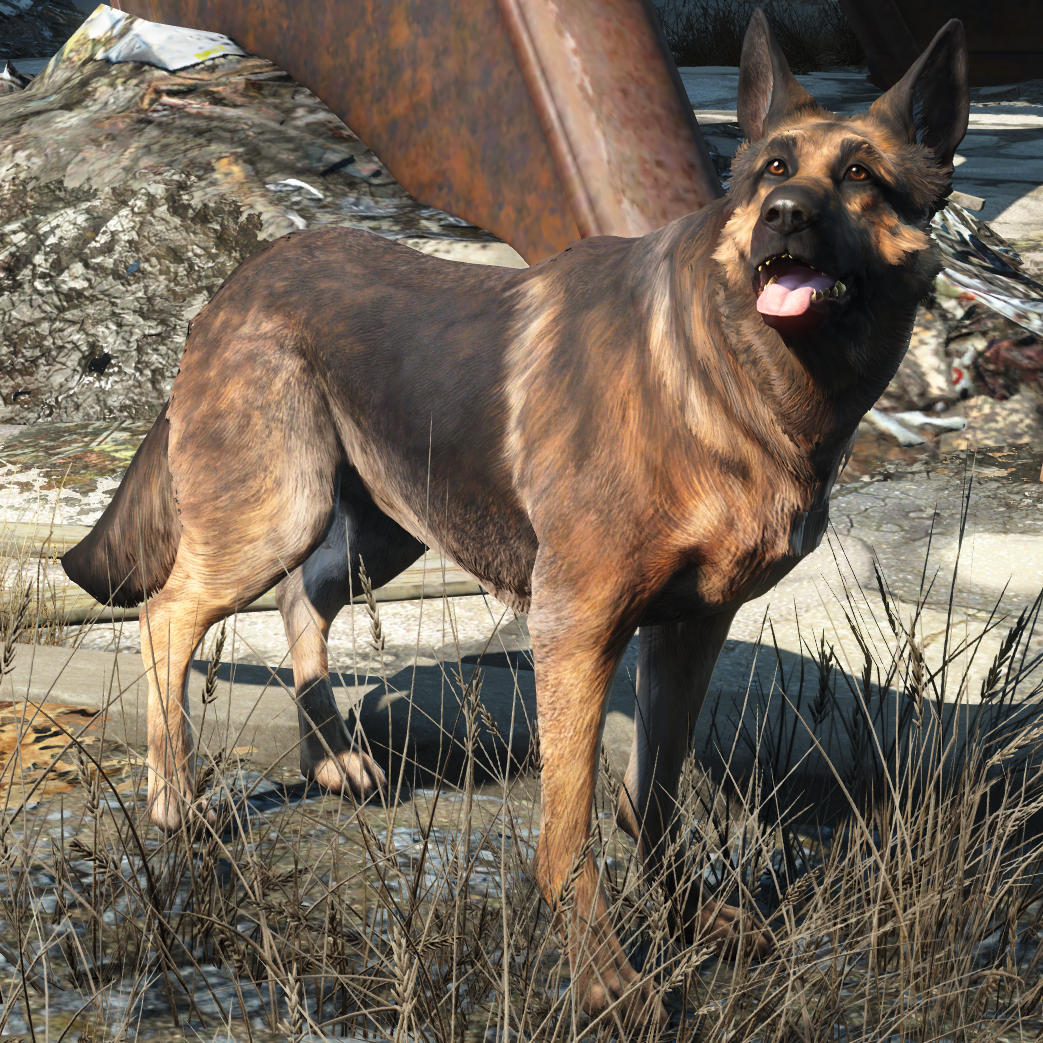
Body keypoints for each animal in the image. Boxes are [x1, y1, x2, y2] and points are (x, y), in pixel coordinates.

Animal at [59, 12, 967, 1026]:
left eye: (859, 177)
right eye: (773, 169)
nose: (783, 217)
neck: (719, 364)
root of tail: (237, 278)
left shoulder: (689, 628)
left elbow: (652, 801)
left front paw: (688, 922)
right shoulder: (576, 629)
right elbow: (570, 836)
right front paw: (607, 981)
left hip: (386, 526)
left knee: (301, 602)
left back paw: (333, 761)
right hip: (277, 514)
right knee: (168, 615)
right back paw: (174, 802)